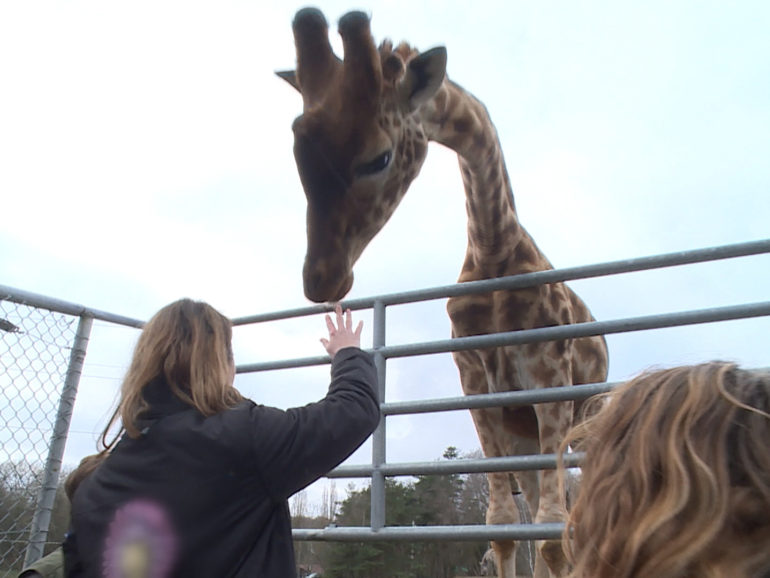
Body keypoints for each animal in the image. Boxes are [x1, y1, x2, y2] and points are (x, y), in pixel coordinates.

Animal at [276, 7, 608, 572]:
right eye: (298, 151)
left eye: (379, 158)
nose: (322, 278)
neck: (495, 253)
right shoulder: (475, 383)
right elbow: (502, 527)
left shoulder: (549, 376)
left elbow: (550, 532)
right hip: (524, 433)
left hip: (580, 421)